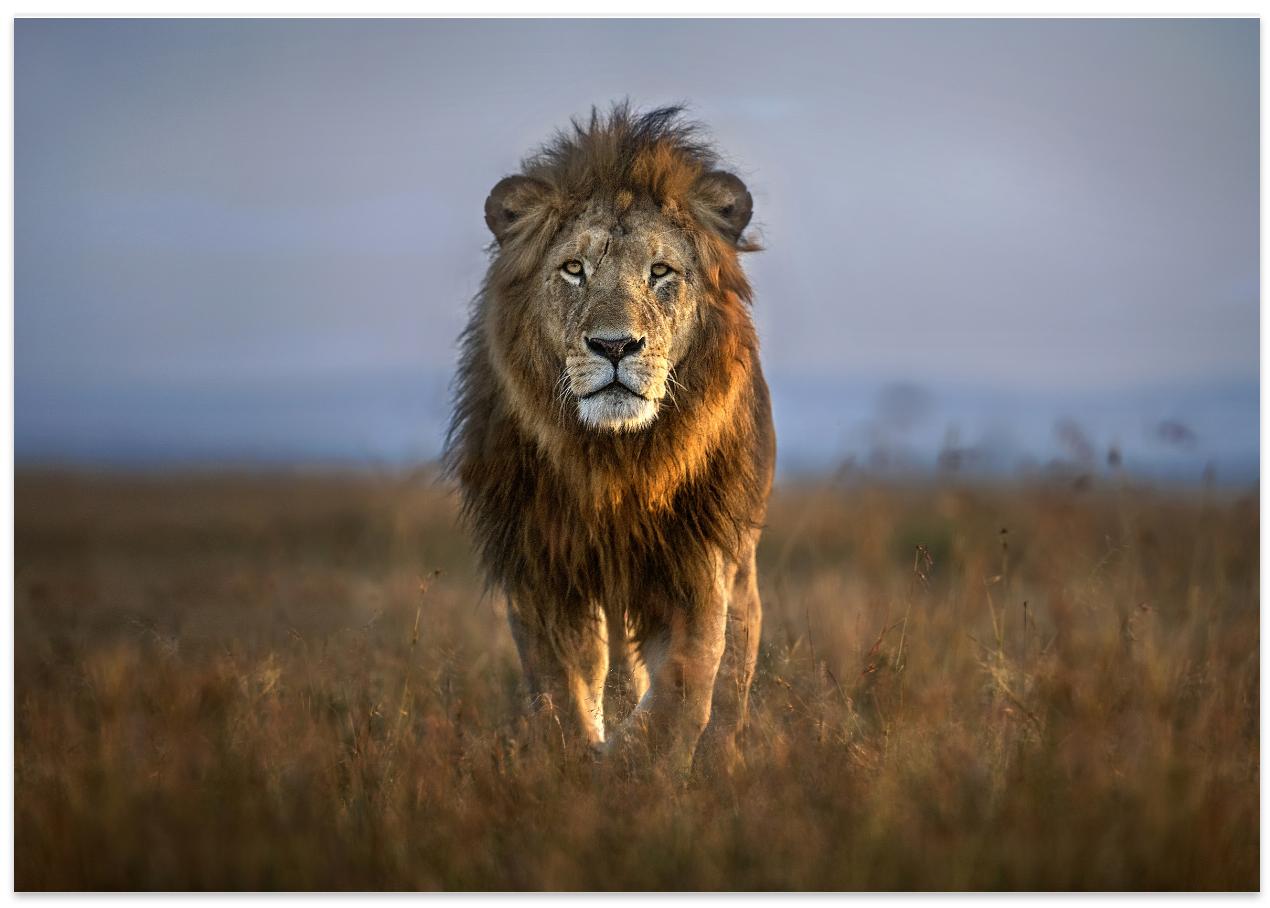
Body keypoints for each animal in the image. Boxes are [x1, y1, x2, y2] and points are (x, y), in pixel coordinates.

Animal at [446, 104, 775, 775]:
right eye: (574, 269)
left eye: (661, 271)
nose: (615, 345)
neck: (616, 461)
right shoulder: (542, 566)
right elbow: (563, 686)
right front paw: (579, 762)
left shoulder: (697, 561)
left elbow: (685, 684)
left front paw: (638, 766)